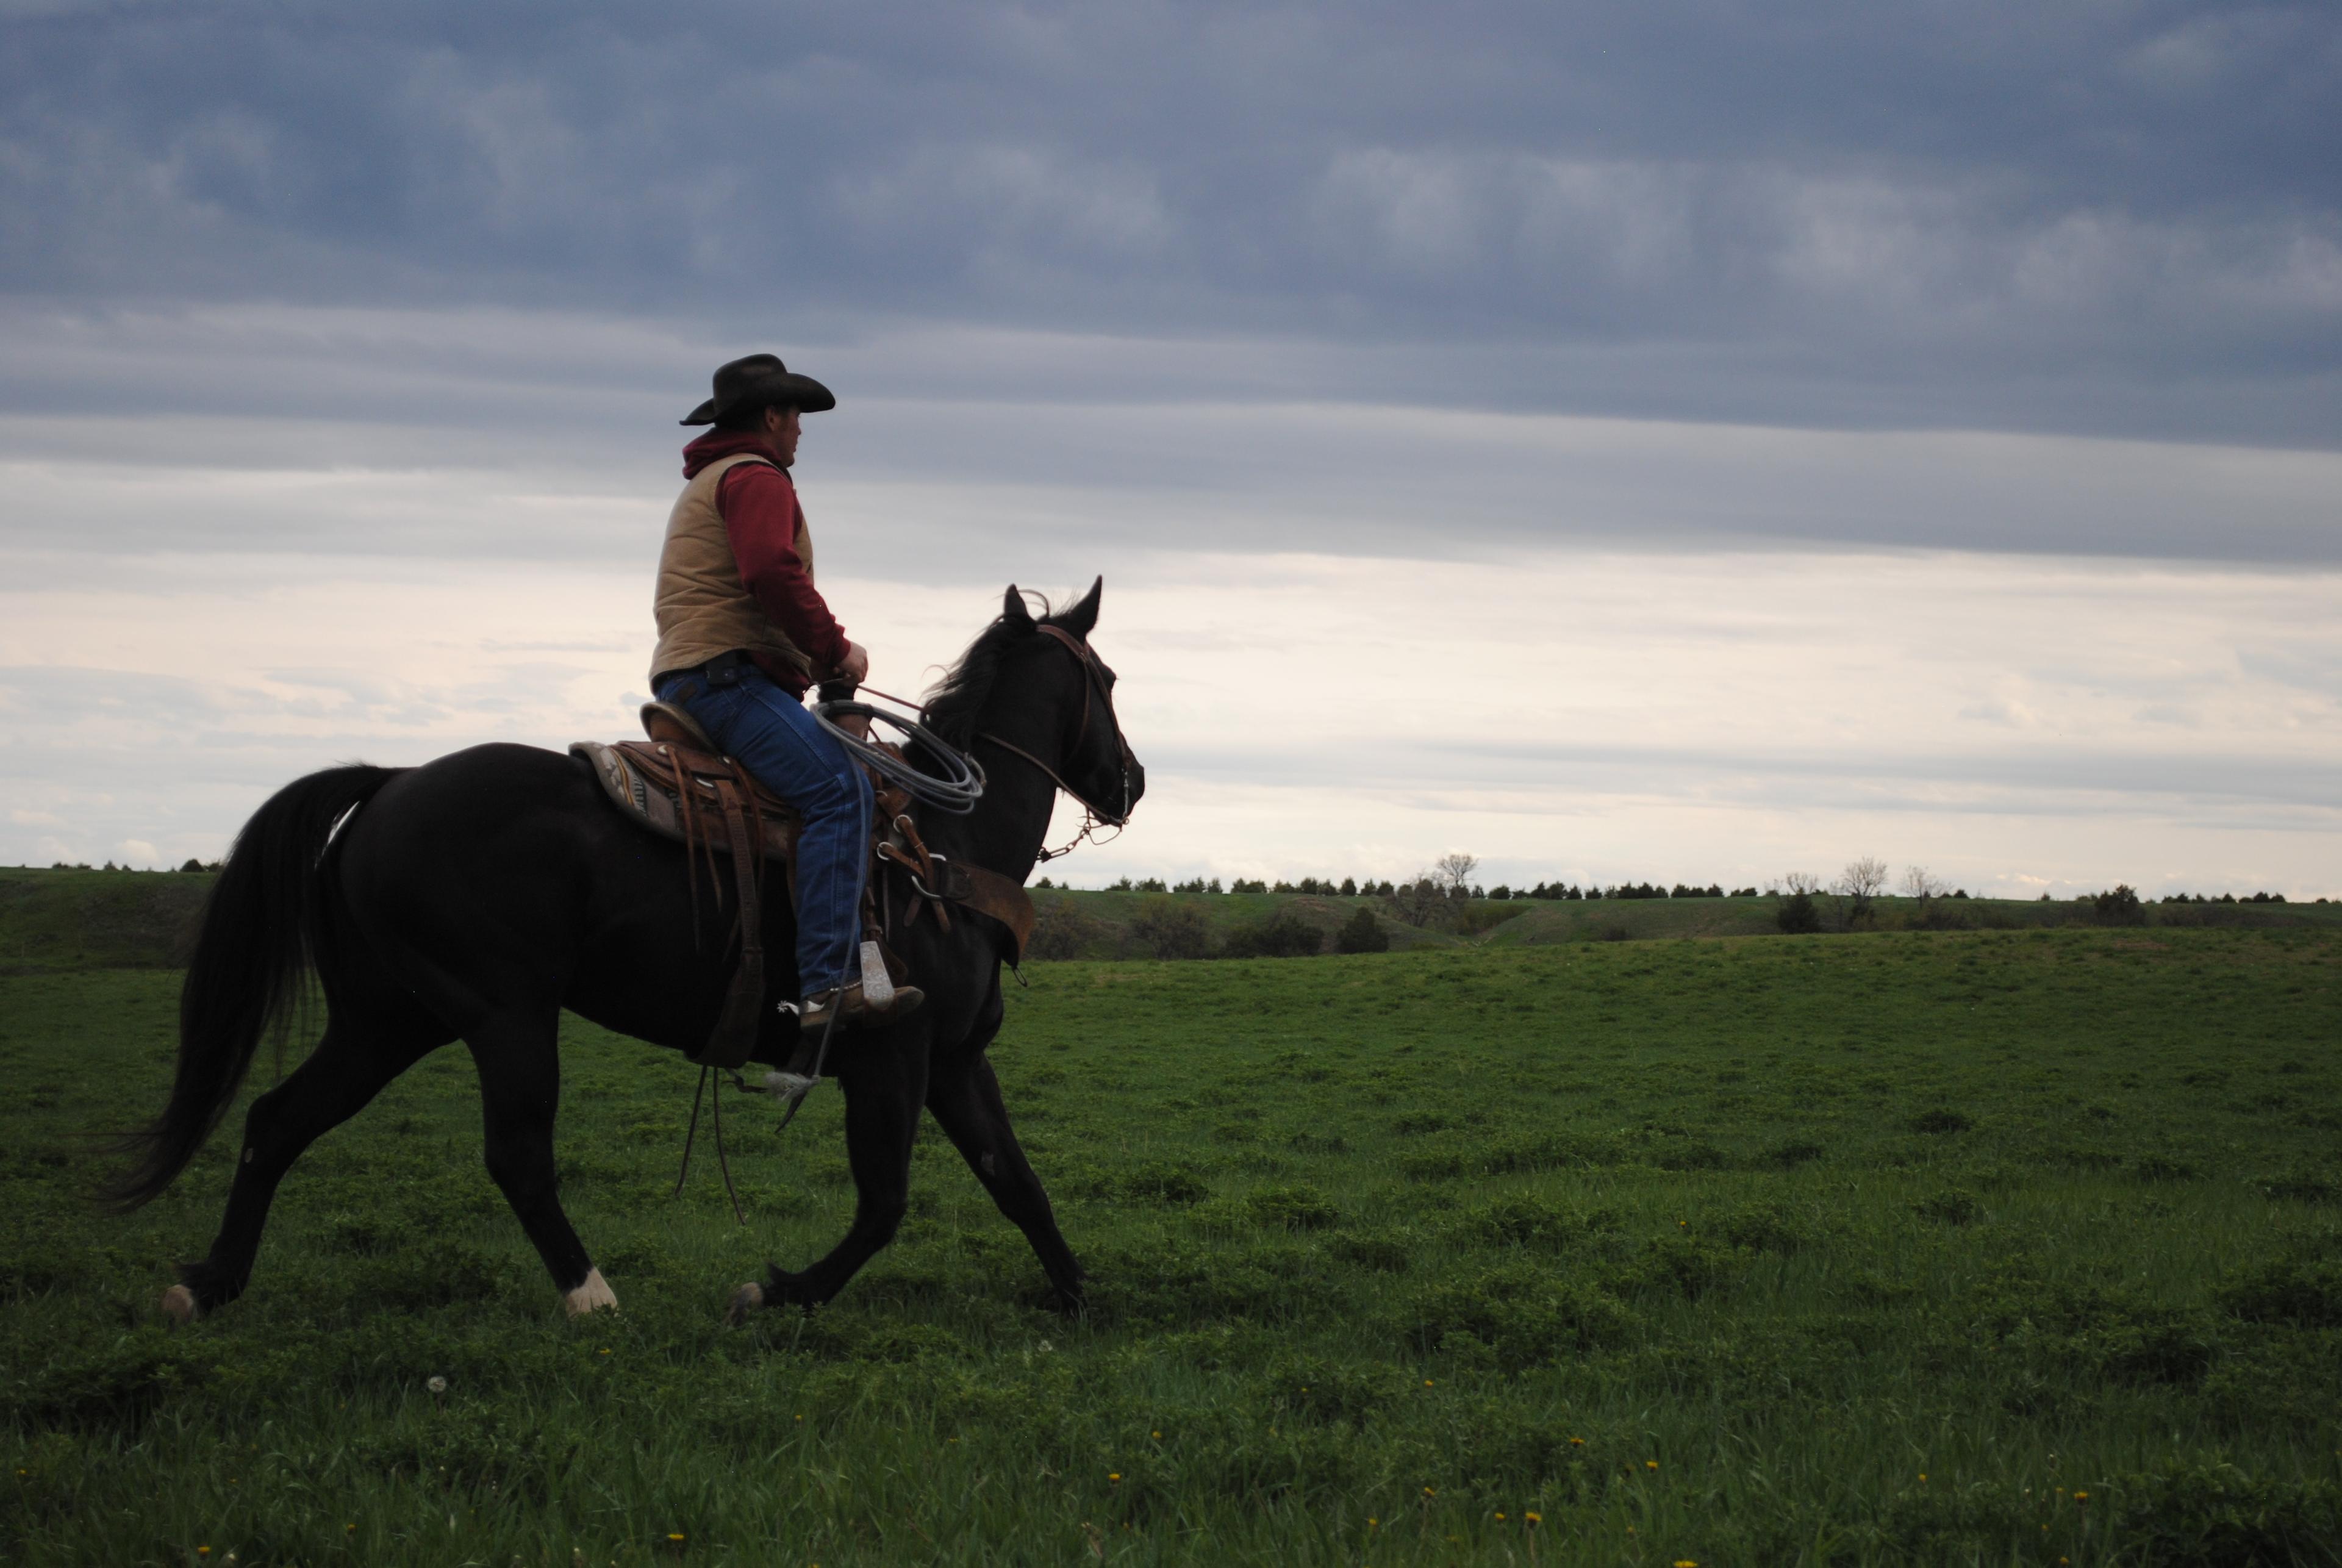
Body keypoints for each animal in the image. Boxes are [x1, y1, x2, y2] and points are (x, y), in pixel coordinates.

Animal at [105, 587, 1147, 1329]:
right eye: (1106, 678)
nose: (1131, 779)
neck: (939, 848)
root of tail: (391, 782)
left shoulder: (957, 1062)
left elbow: (1017, 1181)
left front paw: (1079, 1298)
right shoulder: (892, 1058)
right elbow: (885, 1204)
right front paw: (770, 1291)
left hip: (389, 1018)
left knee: (278, 1121)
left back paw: (208, 1282)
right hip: (503, 1016)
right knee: (517, 1154)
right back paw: (591, 1295)